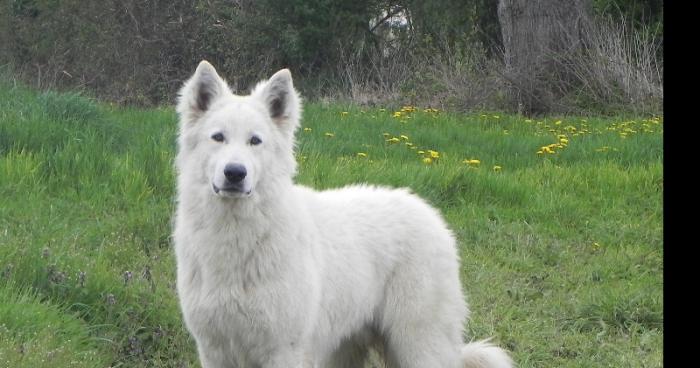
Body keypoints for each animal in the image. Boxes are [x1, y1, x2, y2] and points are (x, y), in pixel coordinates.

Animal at [175, 61, 516, 368]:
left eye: (255, 141)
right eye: (218, 137)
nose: (235, 173)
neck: (237, 237)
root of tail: (427, 210)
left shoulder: (284, 351)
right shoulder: (215, 350)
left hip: (418, 344)